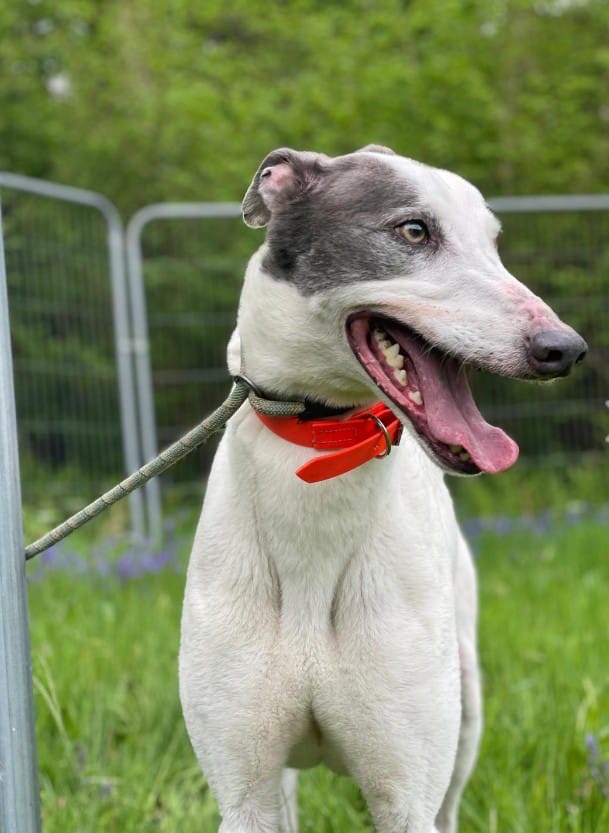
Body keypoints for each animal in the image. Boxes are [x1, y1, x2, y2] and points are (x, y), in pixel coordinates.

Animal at [178, 146, 588, 828]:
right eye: (414, 231)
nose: (565, 349)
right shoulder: (244, 791)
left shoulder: (406, 795)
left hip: (464, 714)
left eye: (493, 242)